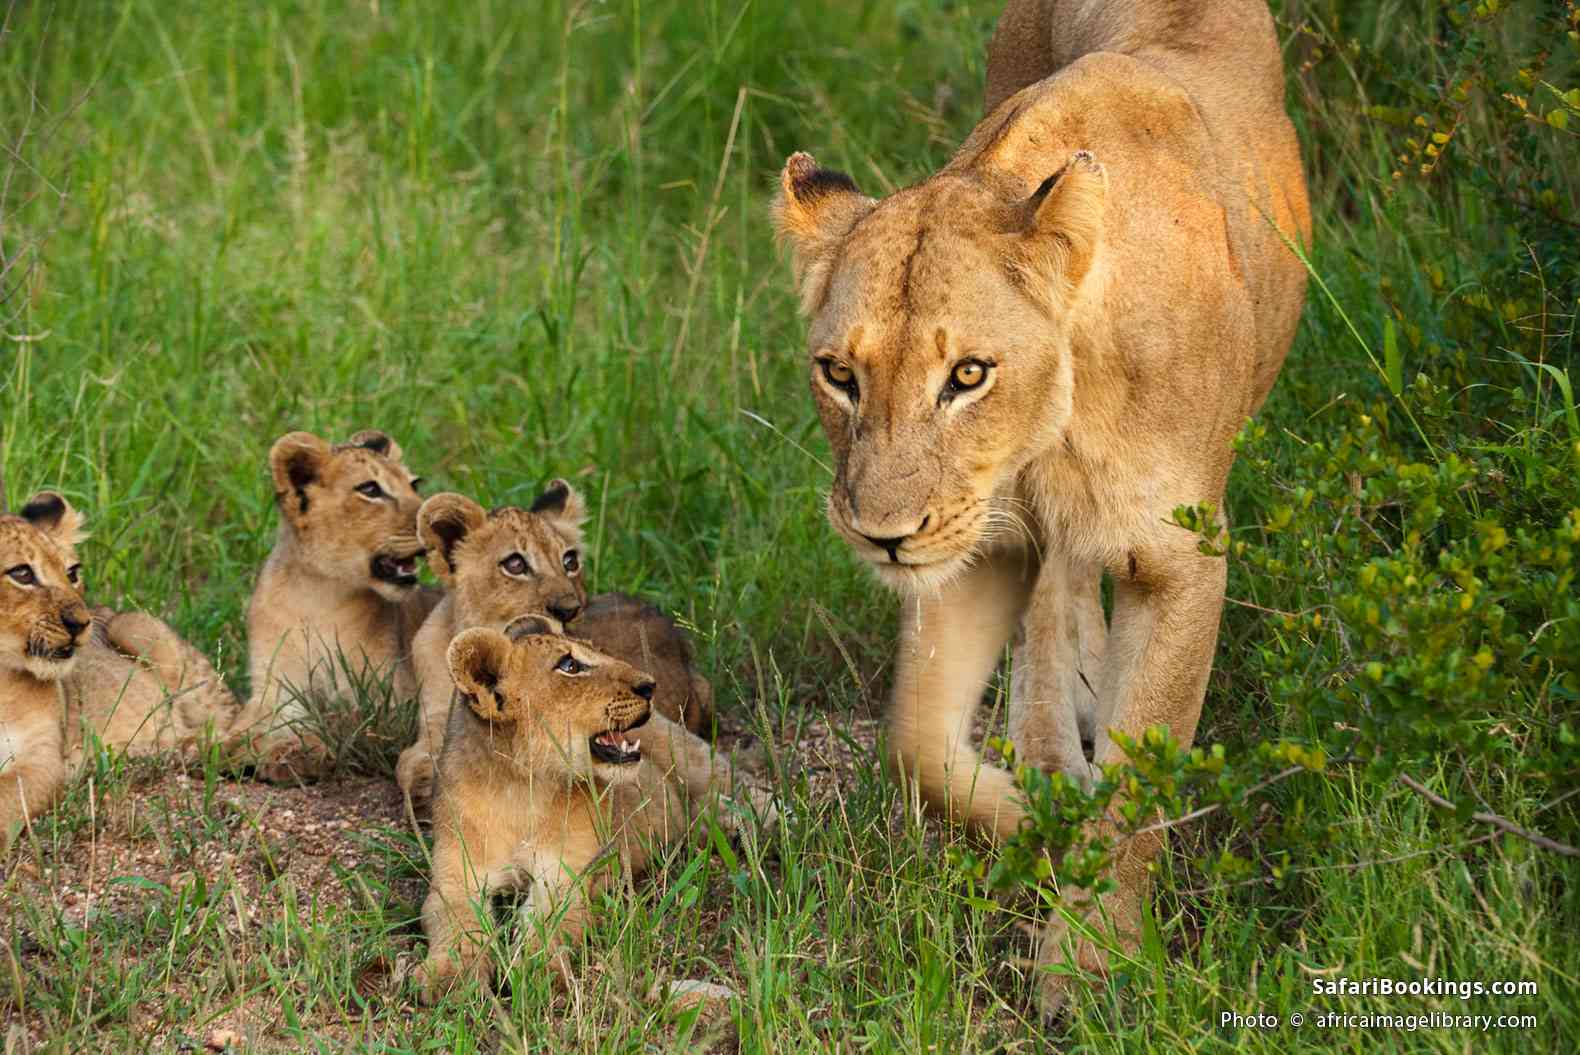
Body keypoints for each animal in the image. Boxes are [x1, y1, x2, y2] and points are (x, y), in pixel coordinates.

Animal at [1, 492, 240, 846]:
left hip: (134, 624)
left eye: (72, 573)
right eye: (21, 573)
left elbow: (5, 795)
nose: (80, 623)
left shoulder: (43, 759)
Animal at [233, 429, 440, 782]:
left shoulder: (391, 700)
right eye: (370, 489)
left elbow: (345, 719)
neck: (317, 595)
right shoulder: (273, 687)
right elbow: (259, 723)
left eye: (415, 484)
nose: (434, 522)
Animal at [418, 616, 770, 1004]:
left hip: (685, 752)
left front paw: (538, 973)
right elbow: (456, 925)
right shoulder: (455, 880)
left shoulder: (565, 878)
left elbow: (549, 924)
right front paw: (452, 979)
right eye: (570, 666)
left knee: (731, 779)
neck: (522, 788)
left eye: (596, 652)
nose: (649, 685)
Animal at [772, 0, 1309, 1014]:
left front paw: (1093, 964)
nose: (881, 536)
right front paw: (1035, 822)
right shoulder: (978, 542)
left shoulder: (1182, 560)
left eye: (967, 375)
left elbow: (1141, 781)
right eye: (839, 374)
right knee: (1057, 605)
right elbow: (914, 745)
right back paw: (1057, 749)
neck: (1051, 428)